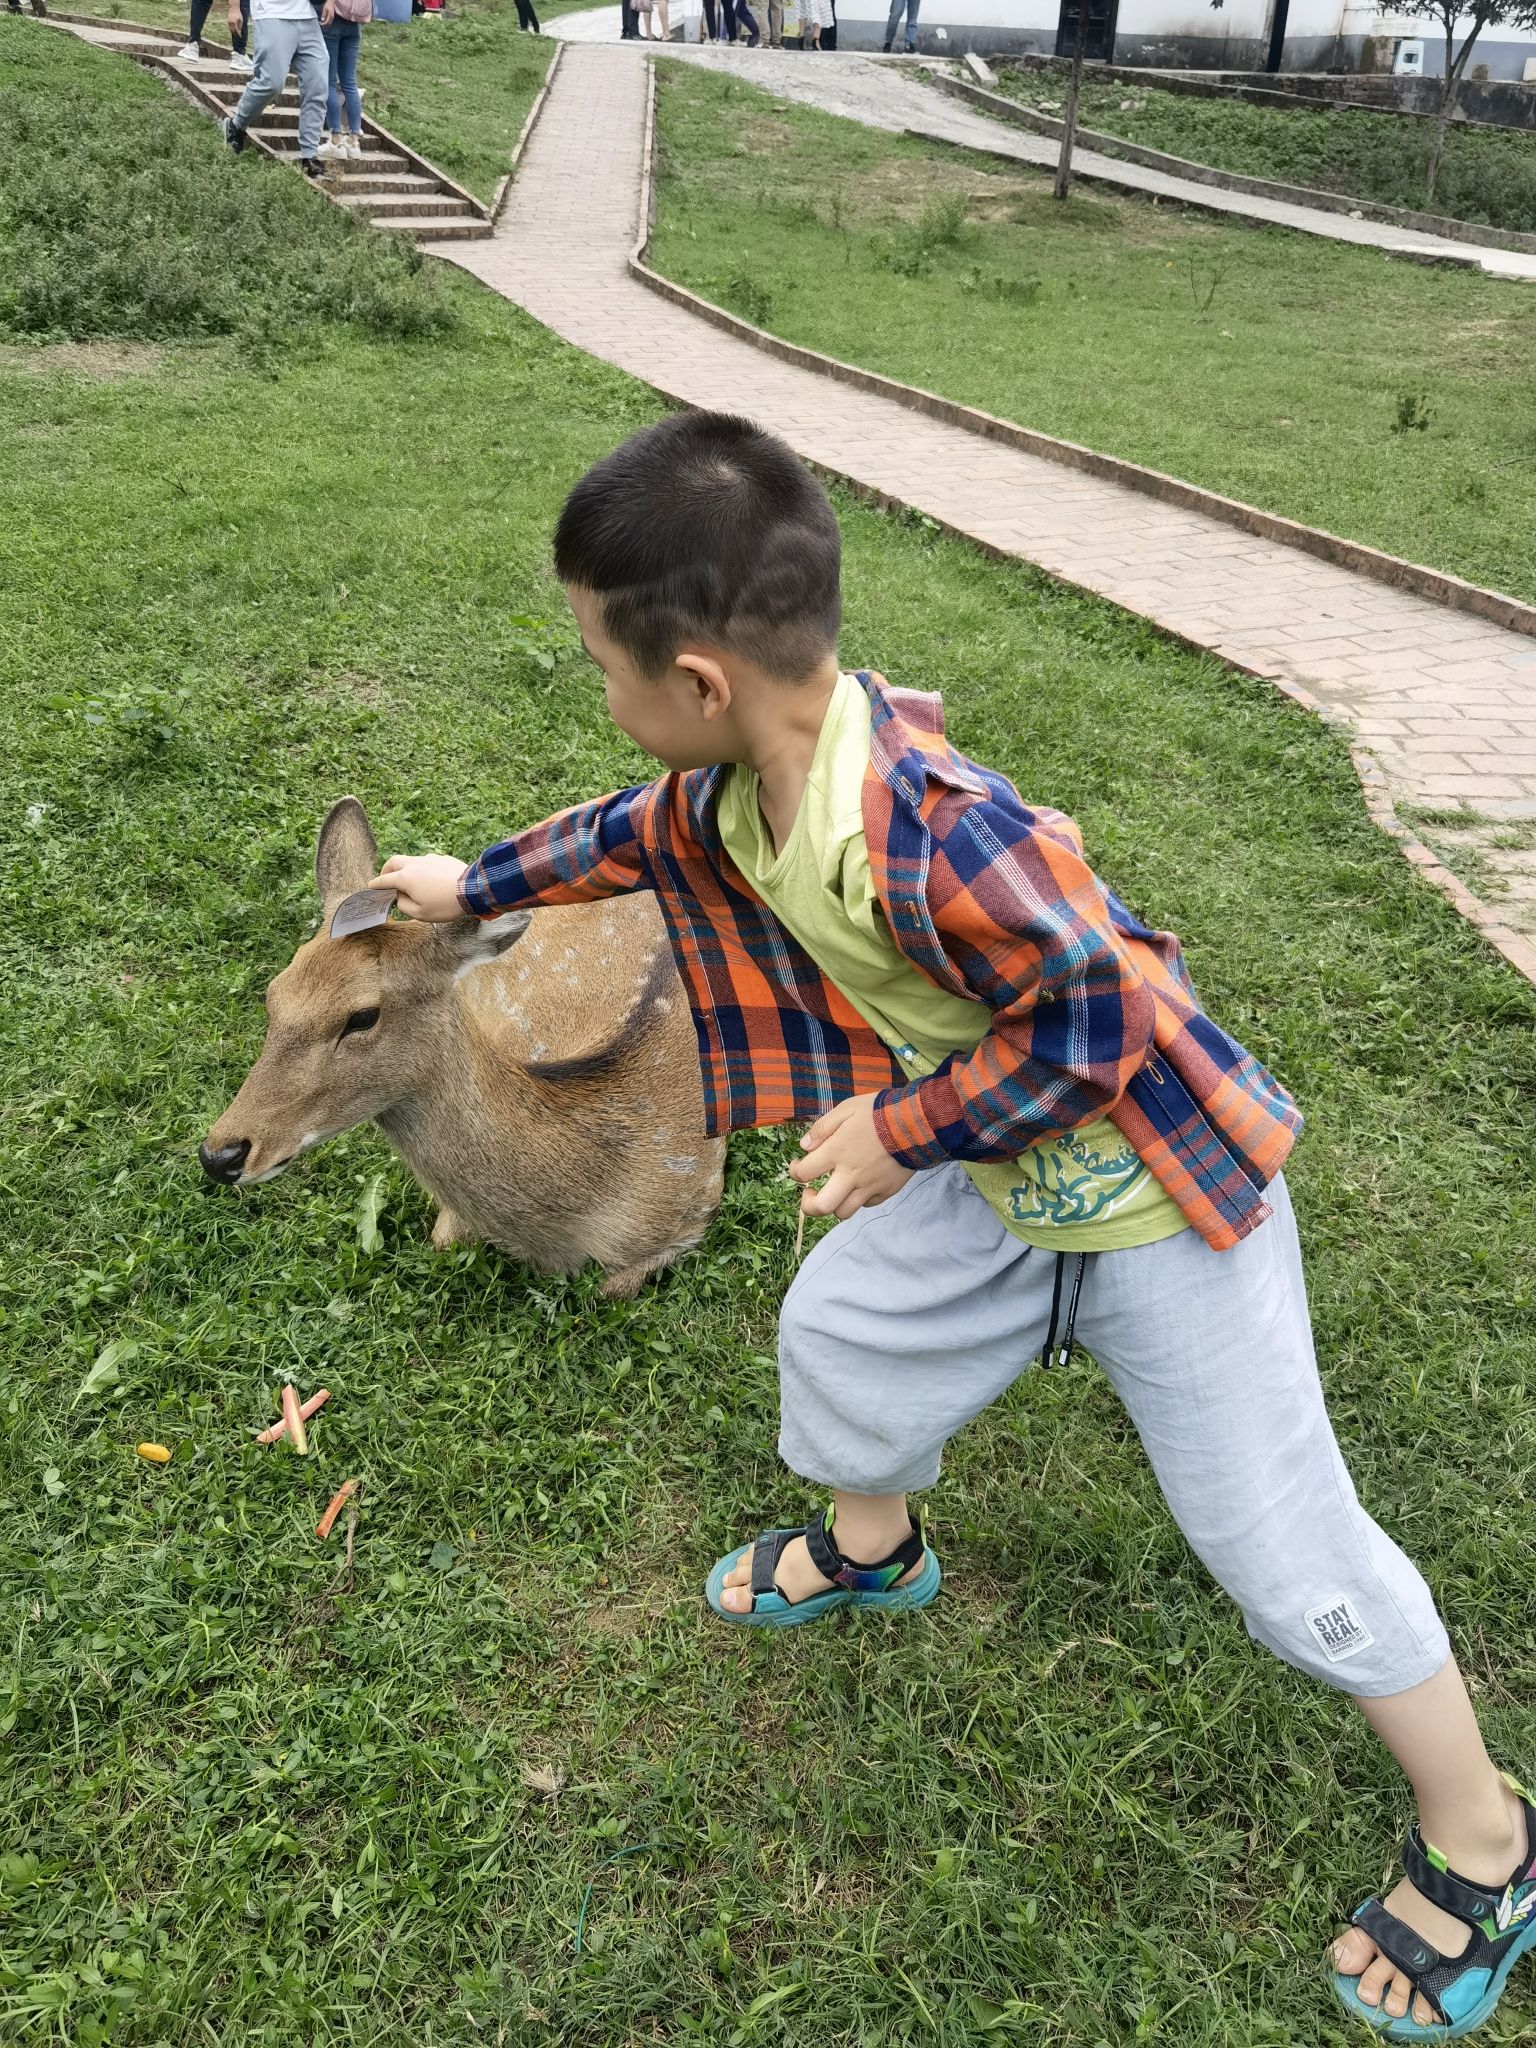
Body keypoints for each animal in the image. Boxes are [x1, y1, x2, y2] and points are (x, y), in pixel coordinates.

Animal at [198, 796, 725, 1296]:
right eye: (274, 993)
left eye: (362, 1016)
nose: (220, 1155)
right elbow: (442, 1239)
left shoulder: (694, 1206)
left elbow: (609, 1291)